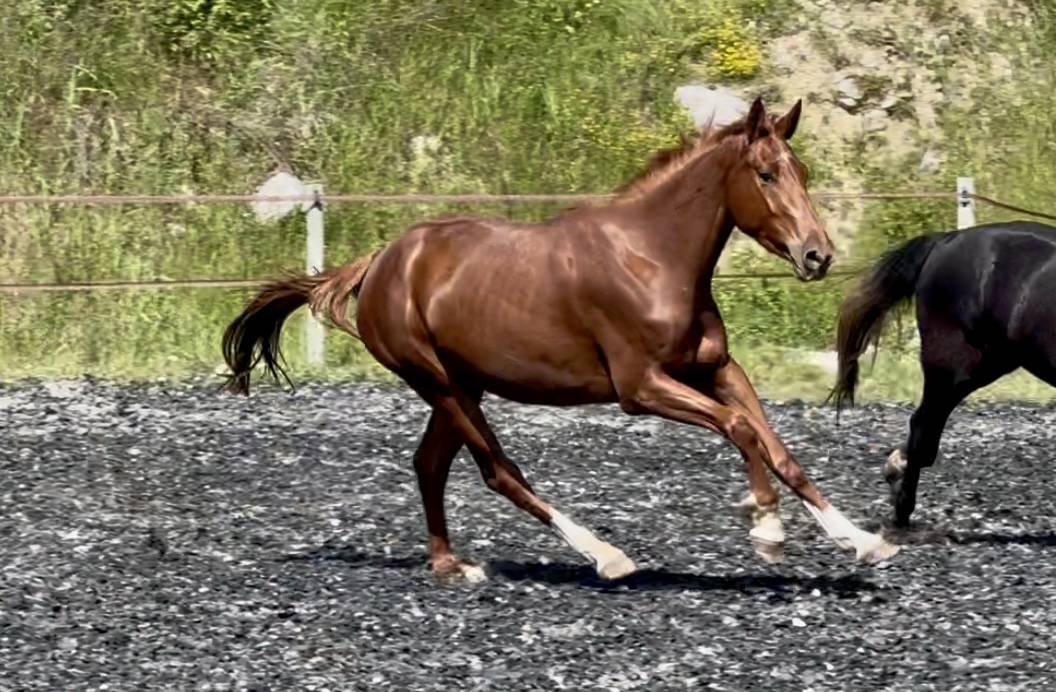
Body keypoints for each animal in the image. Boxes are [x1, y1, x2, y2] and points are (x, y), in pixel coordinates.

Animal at [222, 97, 900, 583]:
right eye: (765, 174)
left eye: (801, 172)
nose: (817, 255)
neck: (654, 258)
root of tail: (381, 262)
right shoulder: (642, 388)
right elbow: (739, 431)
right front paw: (765, 526)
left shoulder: (718, 369)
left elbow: (776, 446)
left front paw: (863, 541)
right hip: (438, 383)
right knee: (498, 470)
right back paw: (605, 555)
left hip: (462, 384)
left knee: (429, 464)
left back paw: (450, 565)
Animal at [831, 220, 1056, 527]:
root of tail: (944, 240)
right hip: (953, 366)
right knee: (922, 429)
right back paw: (902, 503)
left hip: (982, 366)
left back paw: (895, 472)